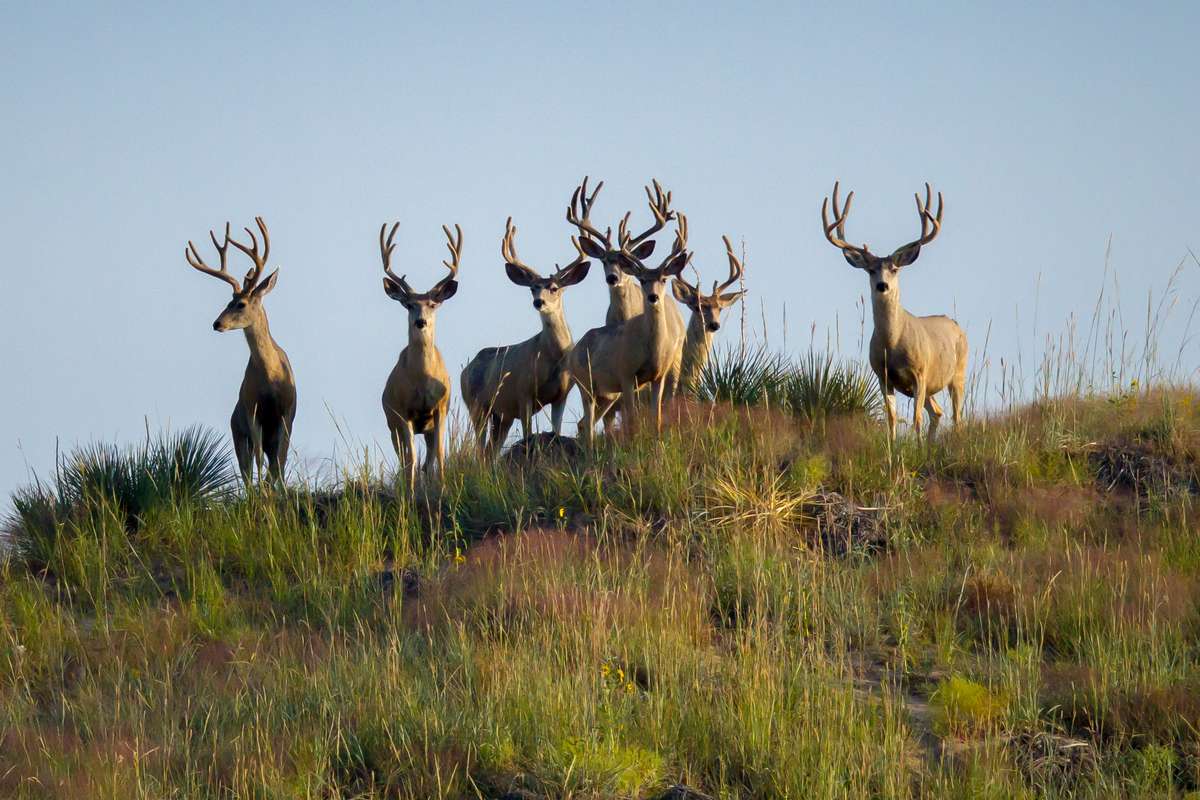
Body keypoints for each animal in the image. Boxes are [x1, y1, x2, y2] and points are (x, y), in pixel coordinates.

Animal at [185, 217, 296, 486]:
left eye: (241, 304)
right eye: (227, 302)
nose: (217, 323)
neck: (271, 377)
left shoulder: (287, 411)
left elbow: (281, 458)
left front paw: (278, 489)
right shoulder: (251, 407)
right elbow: (257, 460)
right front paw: (263, 490)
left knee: (272, 460)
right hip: (237, 429)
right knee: (247, 465)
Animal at [378, 221, 460, 483]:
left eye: (432, 304)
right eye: (409, 304)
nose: (420, 322)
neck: (422, 378)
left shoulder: (441, 408)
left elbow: (440, 454)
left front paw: (444, 485)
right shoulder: (403, 412)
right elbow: (411, 459)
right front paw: (412, 488)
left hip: (426, 428)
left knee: (428, 458)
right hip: (391, 422)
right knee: (405, 458)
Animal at [460, 218, 591, 452]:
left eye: (554, 288)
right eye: (532, 288)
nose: (539, 302)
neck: (553, 358)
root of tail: (464, 371)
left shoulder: (561, 394)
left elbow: (555, 430)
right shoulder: (523, 393)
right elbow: (529, 434)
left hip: (501, 416)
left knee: (490, 449)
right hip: (477, 406)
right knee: (480, 448)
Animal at [566, 176, 687, 422]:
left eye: (664, 279)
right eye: (603, 261)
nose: (612, 278)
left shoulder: (656, 376)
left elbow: (655, 417)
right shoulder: (626, 374)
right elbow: (632, 418)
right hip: (587, 385)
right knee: (587, 423)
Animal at [821, 182, 967, 441]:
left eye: (895, 269)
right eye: (870, 270)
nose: (882, 286)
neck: (893, 343)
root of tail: (956, 325)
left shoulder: (920, 373)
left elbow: (916, 419)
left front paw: (916, 446)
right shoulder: (883, 376)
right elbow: (891, 419)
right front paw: (893, 446)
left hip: (958, 372)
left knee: (957, 417)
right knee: (937, 412)